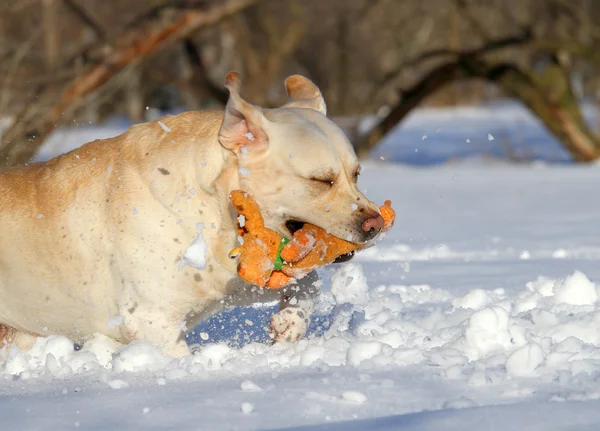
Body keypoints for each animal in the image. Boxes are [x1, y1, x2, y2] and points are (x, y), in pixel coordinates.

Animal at [0, 73, 384, 358]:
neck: (211, 213)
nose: (376, 224)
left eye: (356, 174)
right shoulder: (151, 321)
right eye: (321, 180)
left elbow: (307, 281)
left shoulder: (233, 282)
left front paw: (289, 324)